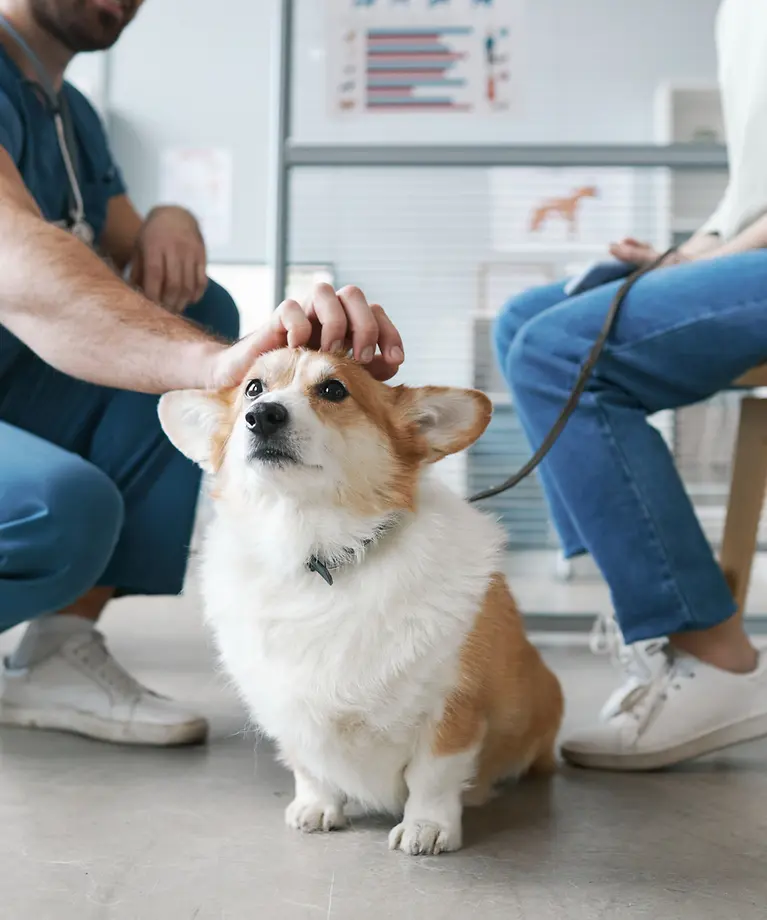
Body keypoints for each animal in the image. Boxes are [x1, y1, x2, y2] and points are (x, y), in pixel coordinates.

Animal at [159, 346, 564, 856]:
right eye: (253, 387)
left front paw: (426, 827)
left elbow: (433, 776)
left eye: (334, 389)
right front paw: (316, 807)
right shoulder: (289, 708)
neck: (316, 552)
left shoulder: (453, 707)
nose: (262, 415)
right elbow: (309, 767)